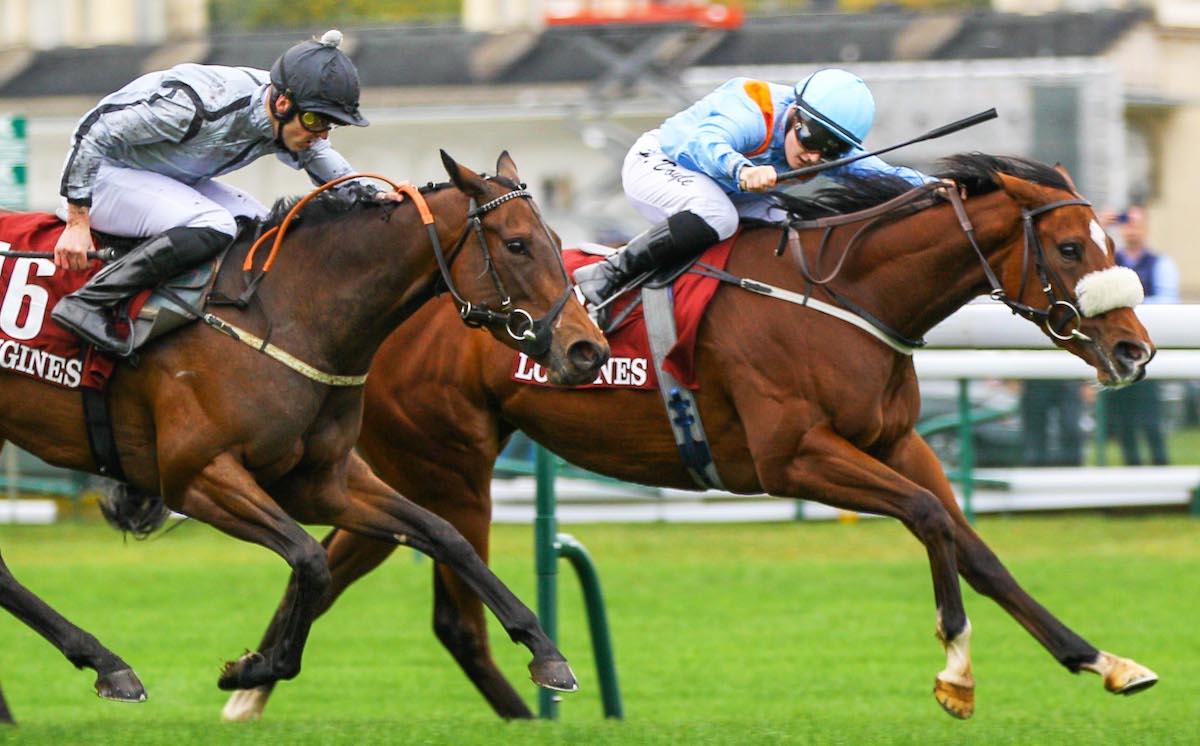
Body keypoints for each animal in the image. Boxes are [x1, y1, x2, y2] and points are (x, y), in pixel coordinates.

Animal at [0, 150, 604, 719]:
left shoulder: (321, 483)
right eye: (518, 245)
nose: (587, 349)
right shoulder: (197, 477)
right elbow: (311, 559)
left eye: (556, 241)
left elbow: (444, 535)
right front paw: (254, 668)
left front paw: (546, 653)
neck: (288, 313)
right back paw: (108, 665)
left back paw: (102, 664)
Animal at [225, 154, 1152, 724]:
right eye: (1072, 245)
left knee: (348, 558)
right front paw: (955, 672)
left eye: (1107, 240)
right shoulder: (794, 457)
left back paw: (250, 683)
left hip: (411, 464)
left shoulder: (896, 443)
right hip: (447, 461)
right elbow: (928, 520)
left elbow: (977, 548)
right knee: (455, 615)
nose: (1135, 350)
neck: (845, 293)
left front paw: (1101, 658)